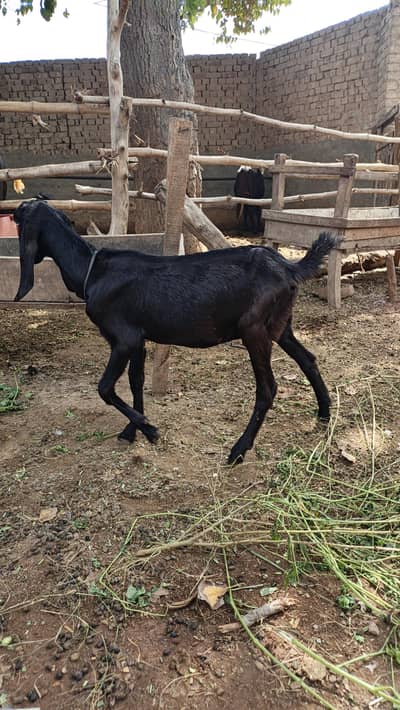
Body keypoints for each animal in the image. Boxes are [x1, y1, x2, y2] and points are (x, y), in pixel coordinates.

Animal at [14, 200, 335, 465]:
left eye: (17, 218)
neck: (92, 271)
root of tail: (289, 267)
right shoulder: (139, 339)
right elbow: (136, 382)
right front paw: (132, 429)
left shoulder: (123, 339)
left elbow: (105, 388)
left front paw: (150, 429)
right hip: (280, 325)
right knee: (308, 359)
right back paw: (324, 413)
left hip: (253, 329)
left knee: (267, 387)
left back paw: (239, 449)